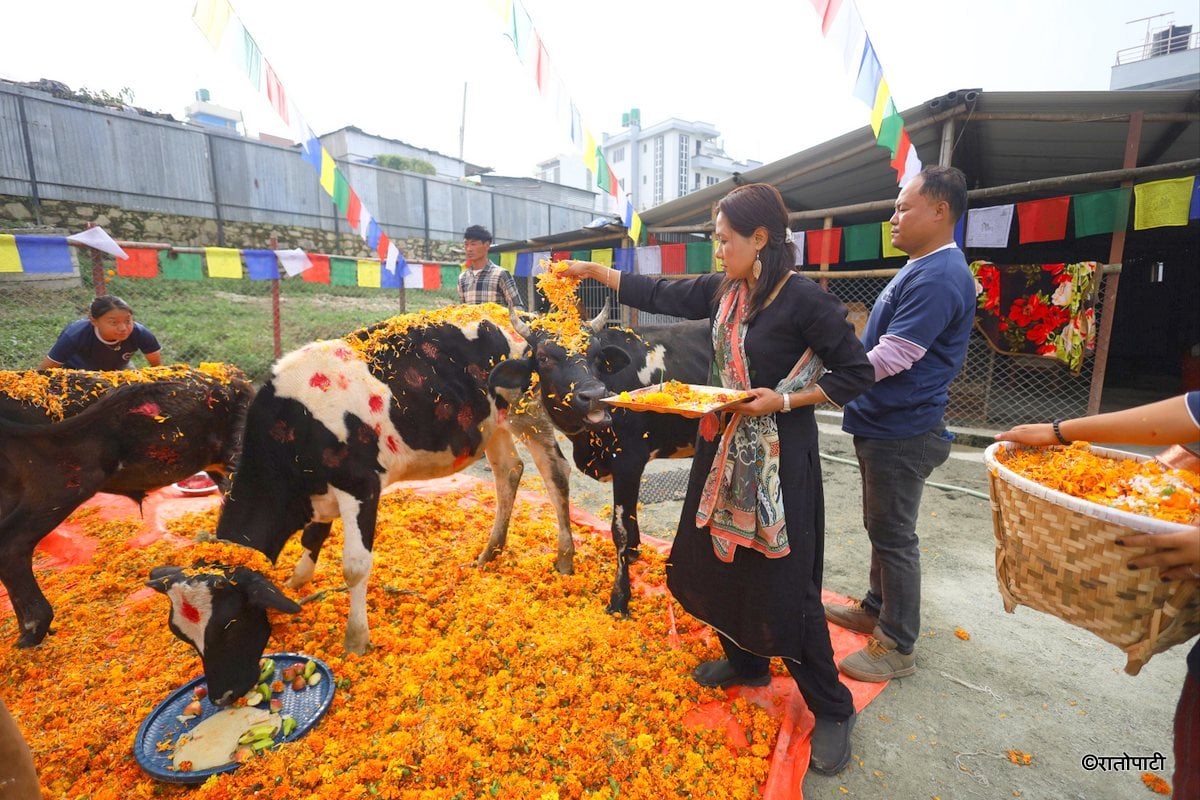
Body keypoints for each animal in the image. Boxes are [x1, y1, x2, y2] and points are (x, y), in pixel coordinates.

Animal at [147, 311, 573, 705]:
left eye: (230, 624)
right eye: (181, 634)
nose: (222, 695)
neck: (292, 432)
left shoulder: (361, 486)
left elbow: (354, 566)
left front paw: (355, 639)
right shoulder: (319, 495)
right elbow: (313, 538)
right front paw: (296, 581)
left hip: (530, 413)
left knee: (555, 473)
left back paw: (564, 558)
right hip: (492, 425)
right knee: (508, 472)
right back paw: (490, 552)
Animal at [487, 309, 710, 618]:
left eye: (595, 354)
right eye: (543, 357)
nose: (593, 394)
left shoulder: (628, 460)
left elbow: (620, 530)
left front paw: (619, 599)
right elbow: (630, 522)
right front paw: (634, 556)